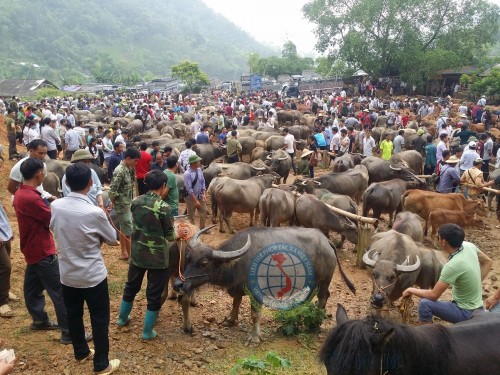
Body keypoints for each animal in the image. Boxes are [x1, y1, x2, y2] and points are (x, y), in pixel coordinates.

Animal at [175, 226, 356, 344]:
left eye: (204, 263)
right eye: (188, 258)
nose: (178, 284)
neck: (237, 263)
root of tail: (327, 242)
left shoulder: (256, 294)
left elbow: (255, 314)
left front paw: (254, 337)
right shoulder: (238, 287)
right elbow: (236, 302)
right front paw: (230, 320)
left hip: (324, 281)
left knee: (324, 297)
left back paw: (314, 324)